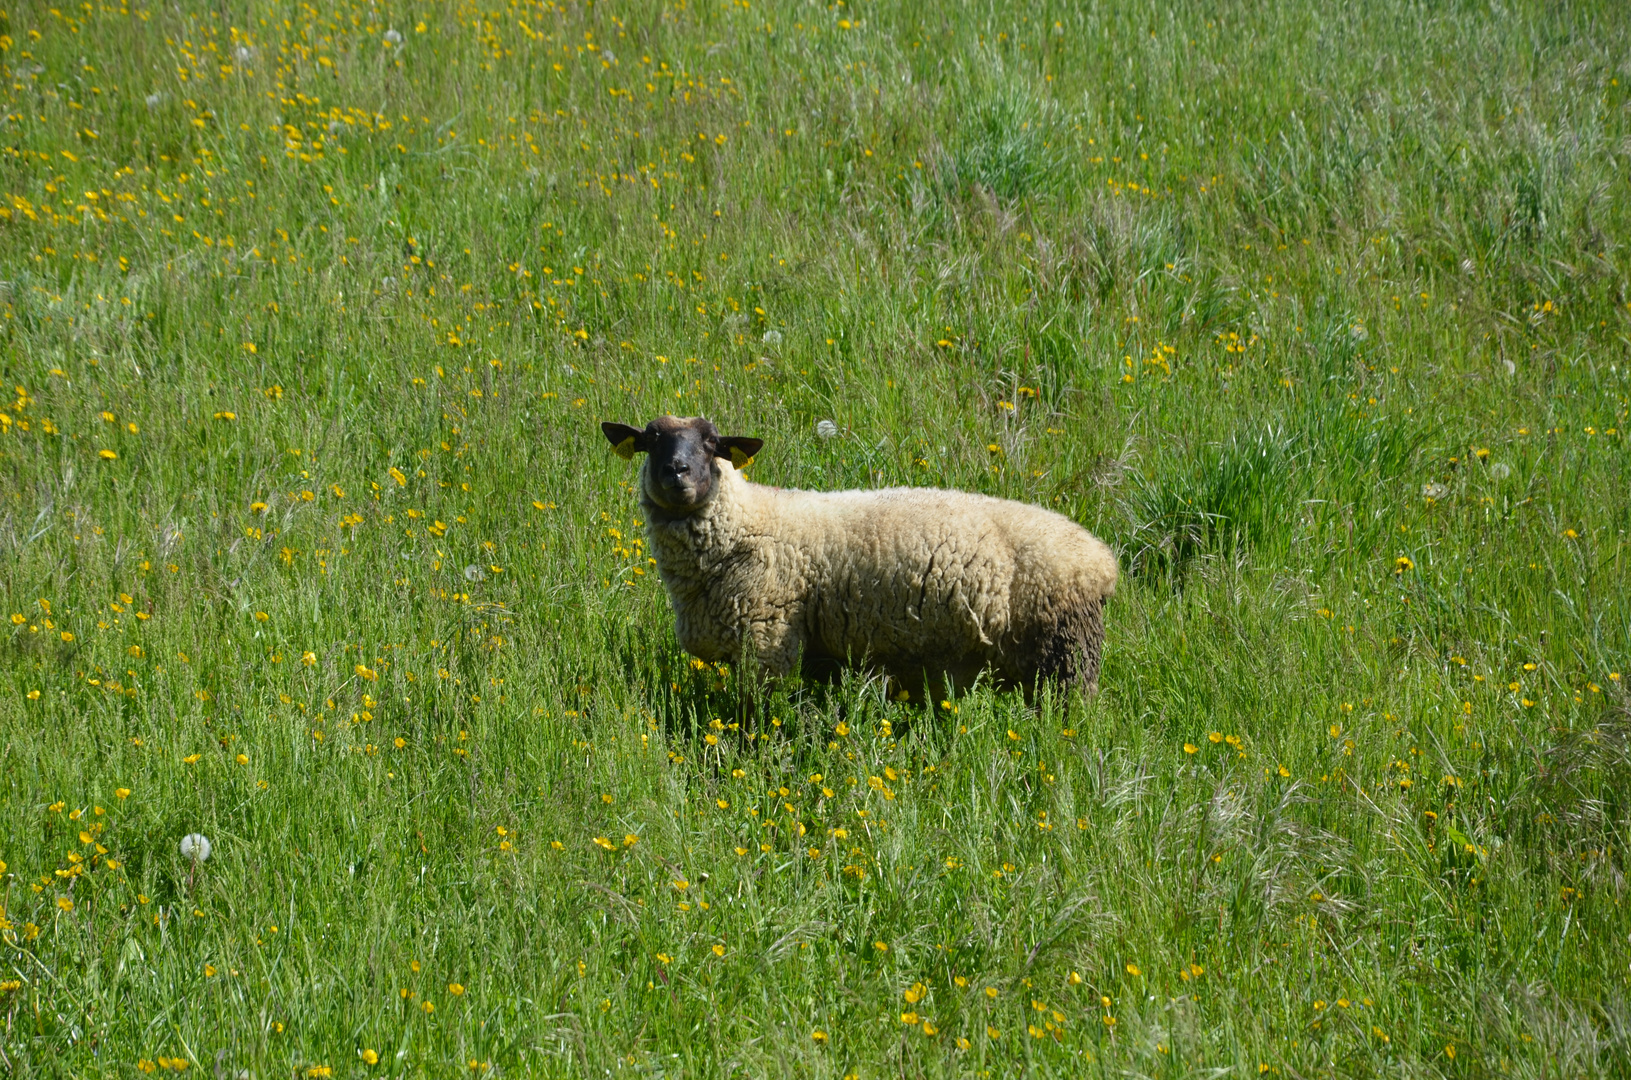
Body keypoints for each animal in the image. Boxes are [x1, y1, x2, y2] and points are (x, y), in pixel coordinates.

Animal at [603, 414, 1122, 701]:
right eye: (650, 441)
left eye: (712, 444)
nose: (677, 471)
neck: (746, 522)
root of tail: (1102, 562)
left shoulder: (767, 641)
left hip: (1067, 657)